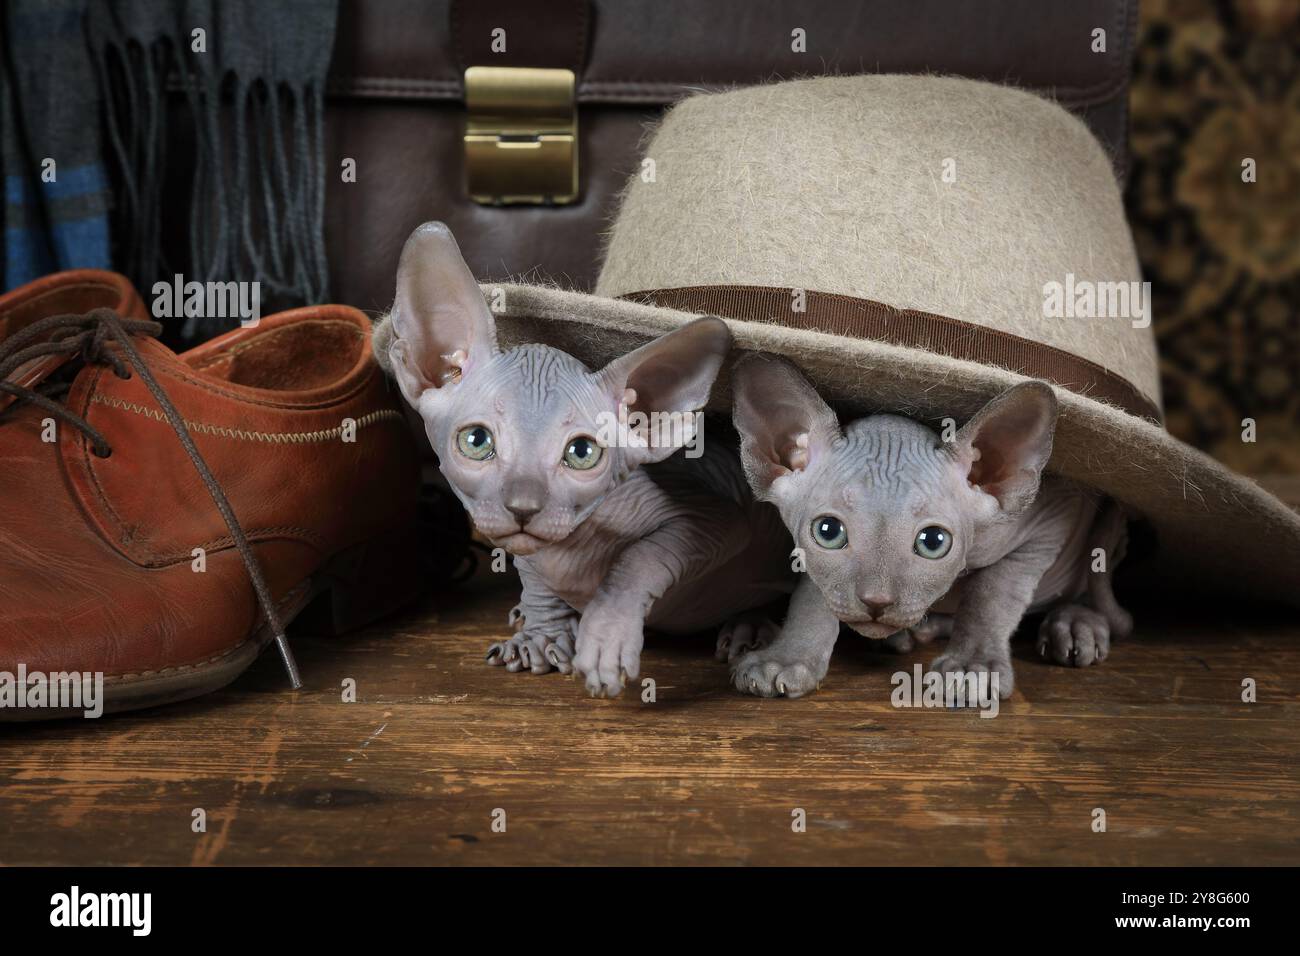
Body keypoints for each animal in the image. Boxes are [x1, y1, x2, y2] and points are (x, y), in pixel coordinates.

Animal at [377, 222, 790, 697]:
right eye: (477, 441)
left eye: (581, 453)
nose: (522, 508)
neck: (572, 548)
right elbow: (532, 570)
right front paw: (542, 633)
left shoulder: (709, 517)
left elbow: (639, 556)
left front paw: (604, 635)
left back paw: (750, 626)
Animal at [728, 356, 1133, 697]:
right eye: (828, 532)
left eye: (933, 541)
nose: (876, 602)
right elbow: (814, 593)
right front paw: (786, 658)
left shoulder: (1048, 522)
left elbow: (990, 596)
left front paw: (973, 668)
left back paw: (1076, 624)